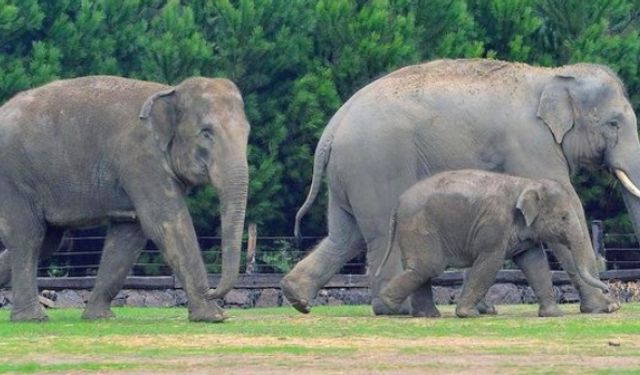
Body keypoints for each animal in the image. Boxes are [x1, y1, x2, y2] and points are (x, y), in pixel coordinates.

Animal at [0, 76, 249, 324]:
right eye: (206, 132)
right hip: (13, 180)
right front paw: (214, 316)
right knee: (28, 236)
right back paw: (32, 318)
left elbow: (129, 234)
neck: (170, 91)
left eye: (247, 133)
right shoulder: (140, 157)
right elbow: (166, 222)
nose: (211, 290)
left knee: (48, 241)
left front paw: (99, 317)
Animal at [378, 172, 608, 318]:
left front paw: (553, 314)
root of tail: (397, 203)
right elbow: (491, 262)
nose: (607, 289)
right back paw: (390, 305)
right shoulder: (495, 225)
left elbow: (535, 263)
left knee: (421, 269)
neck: (526, 182)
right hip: (419, 227)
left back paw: (428, 315)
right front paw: (467, 314)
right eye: (563, 217)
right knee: (428, 267)